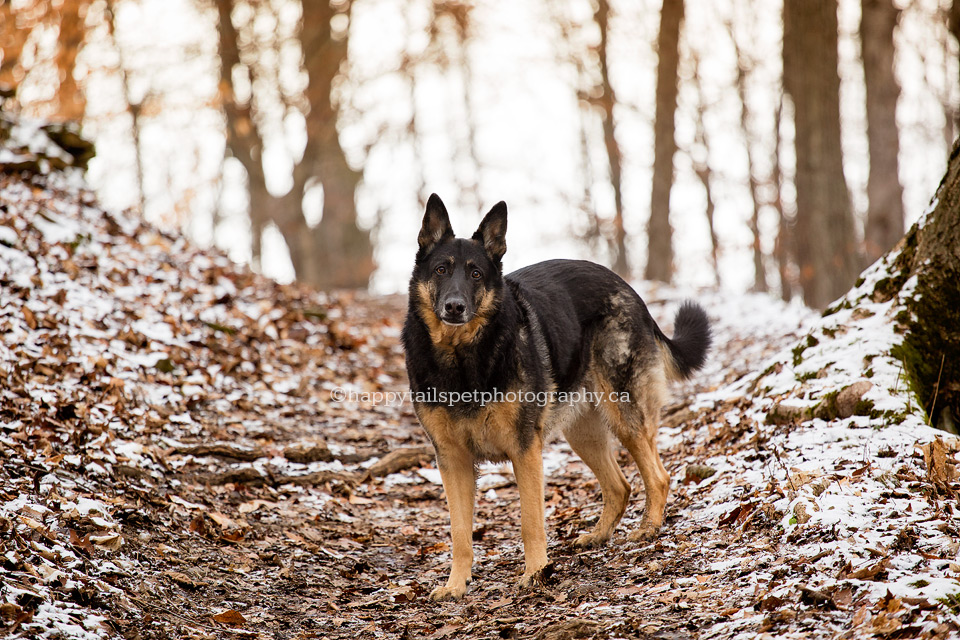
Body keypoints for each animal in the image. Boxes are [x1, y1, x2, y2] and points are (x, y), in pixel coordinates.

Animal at [402, 194, 708, 600]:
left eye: (476, 274)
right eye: (440, 270)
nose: (454, 307)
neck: (462, 356)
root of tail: (629, 289)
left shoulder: (524, 451)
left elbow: (531, 521)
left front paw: (536, 573)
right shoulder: (452, 461)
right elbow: (460, 533)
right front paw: (455, 585)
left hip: (625, 416)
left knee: (657, 477)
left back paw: (647, 529)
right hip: (583, 434)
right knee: (620, 486)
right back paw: (598, 536)